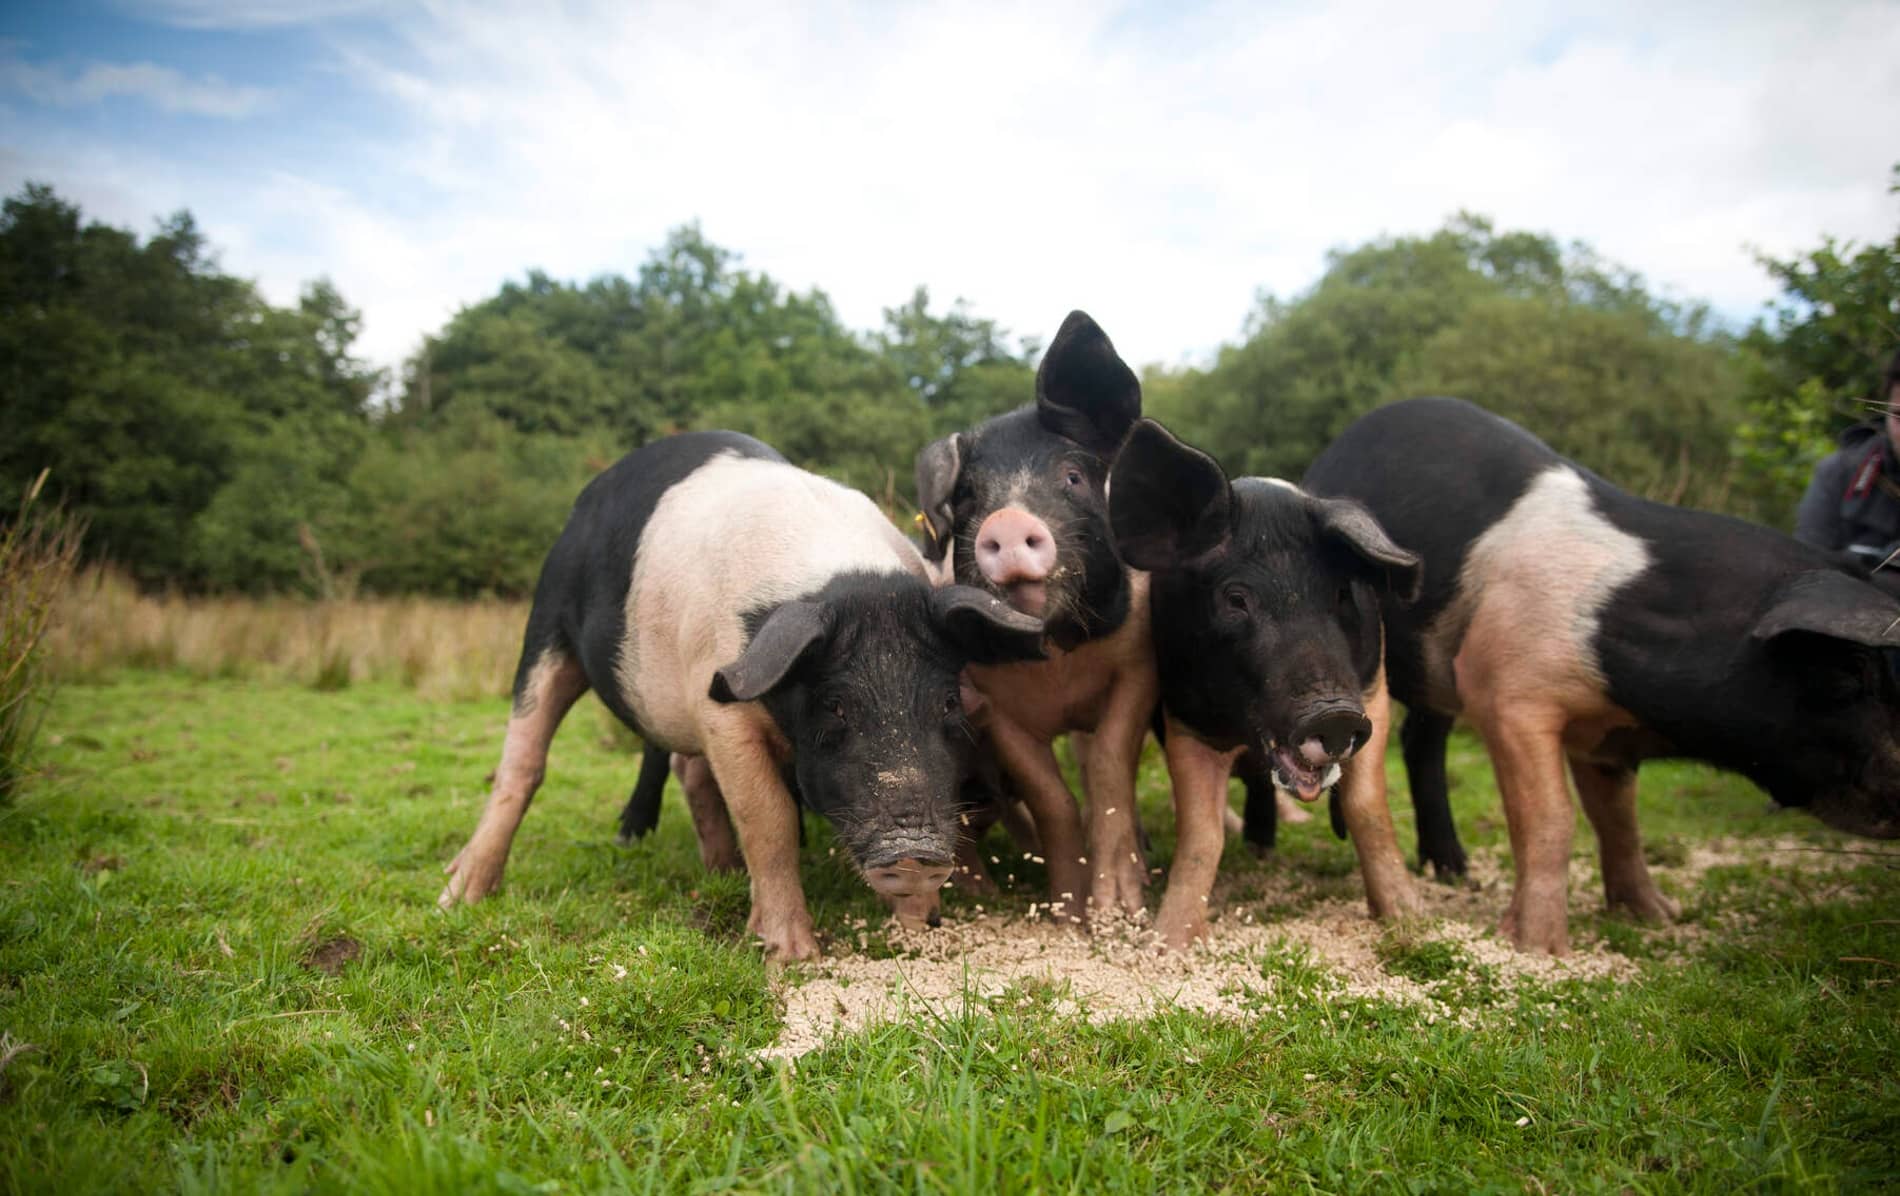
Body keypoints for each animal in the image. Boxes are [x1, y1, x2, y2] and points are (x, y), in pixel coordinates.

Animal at [438, 430, 1045, 961]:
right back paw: (460, 894)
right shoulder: (721, 706)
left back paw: (722, 872)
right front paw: (791, 955)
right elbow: (768, 818)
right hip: (547, 623)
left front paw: (921, 926)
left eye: (947, 703)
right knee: (524, 759)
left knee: (688, 771)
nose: (914, 852)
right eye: (835, 705)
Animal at [914, 310, 1155, 922]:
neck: (1057, 659)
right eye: (968, 496)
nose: (1006, 519)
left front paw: (1119, 910)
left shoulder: (1139, 666)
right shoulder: (993, 705)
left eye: (1072, 477)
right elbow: (1052, 798)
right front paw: (1068, 915)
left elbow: (1109, 767)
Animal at [1106, 418, 1425, 946]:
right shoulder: (1187, 721)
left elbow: (1369, 812)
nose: (1334, 714)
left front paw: (1410, 918)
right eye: (1236, 598)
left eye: (1341, 592)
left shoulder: (1373, 696)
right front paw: (1170, 942)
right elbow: (1201, 836)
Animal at [1303, 396, 1900, 954]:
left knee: (1421, 739)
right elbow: (1551, 818)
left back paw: (1455, 873)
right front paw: (1538, 948)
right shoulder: (1509, 698)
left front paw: (1658, 916)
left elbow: (1621, 821)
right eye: (1849, 674)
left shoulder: (1606, 739)